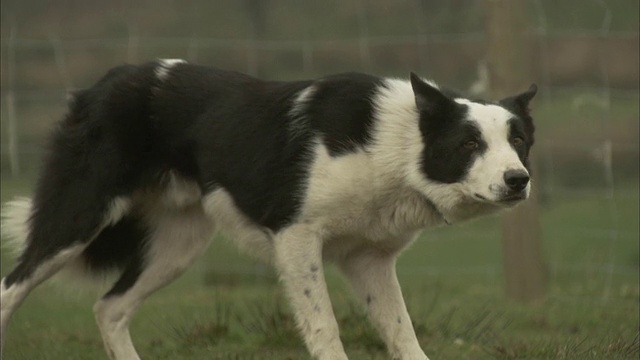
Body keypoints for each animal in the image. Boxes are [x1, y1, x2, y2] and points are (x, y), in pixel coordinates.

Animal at [0, 59, 536, 360]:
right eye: (469, 144)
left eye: (518, 142)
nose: (519, 181)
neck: (396, 145)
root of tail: (101, 85)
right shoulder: (296, 238)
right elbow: (325, 327)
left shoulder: (369, 260)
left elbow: (404, 335)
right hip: (77, 217)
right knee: (12, 288)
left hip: (177, 248)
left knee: (109, 307)